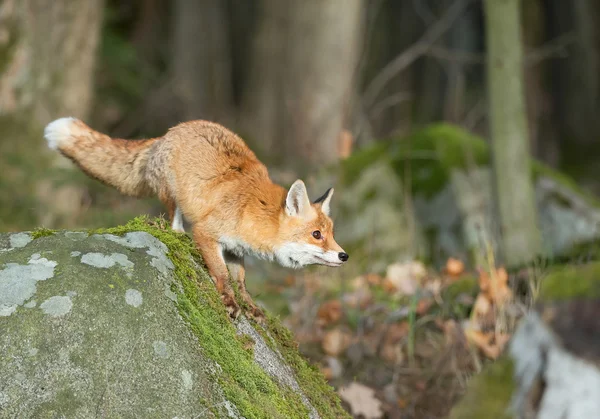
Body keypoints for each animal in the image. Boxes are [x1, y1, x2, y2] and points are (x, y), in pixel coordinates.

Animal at [44, 118, 350, 322]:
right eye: (316, 235)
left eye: (332, 233)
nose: (344, 256)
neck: (252, 210)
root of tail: (170, 131)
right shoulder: (207, 232)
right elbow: (222, 274)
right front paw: (228, 301)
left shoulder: (237, 249)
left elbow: (241, 282)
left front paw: (249, 305)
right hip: (172, 193)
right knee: (174, 217)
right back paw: (178, 233)